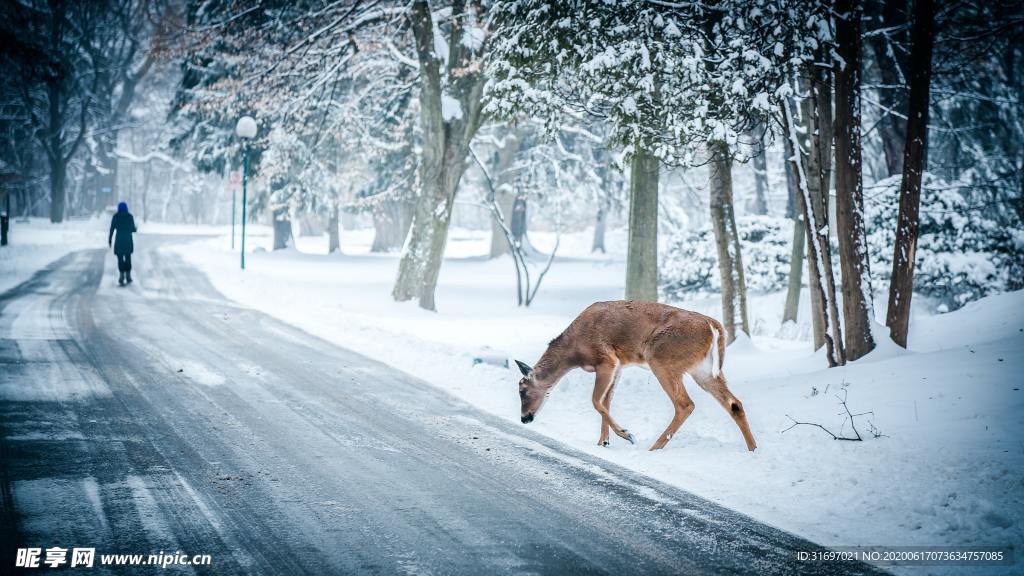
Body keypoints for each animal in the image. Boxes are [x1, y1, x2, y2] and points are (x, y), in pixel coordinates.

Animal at [516, 297, 757, 450]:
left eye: (522, 390)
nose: (524, 418)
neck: (574, 351)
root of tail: (712, 325)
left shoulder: (607, 359)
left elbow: (596, 401)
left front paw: (626, 434)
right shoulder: (619, 366)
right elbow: (606, 401)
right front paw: (603, 442)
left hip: (662, 359)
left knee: (685, 404)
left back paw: (654, 447)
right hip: (703, 369)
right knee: (734, 404)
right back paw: (753, 449)